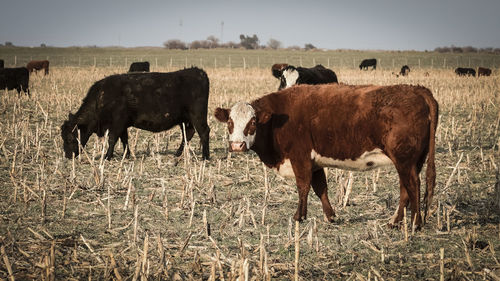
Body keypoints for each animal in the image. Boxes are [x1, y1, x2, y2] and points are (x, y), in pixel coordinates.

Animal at [61, 66, 210, 160]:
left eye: (70, 138)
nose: (68, 156)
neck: (102, 97)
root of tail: (198, 72)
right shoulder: (122, 125)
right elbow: (124, 139)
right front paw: (126, 155)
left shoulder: (117, 122)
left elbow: (112, 138)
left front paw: (107, 157)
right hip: (185, 119)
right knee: (188, 133)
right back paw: (178, 154)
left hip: (197, 115)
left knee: (203, 132)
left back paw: (205, 157)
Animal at [215, 82, 438, 228]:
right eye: (230, 122)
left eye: (253, 122)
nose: (237, 145)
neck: (277, 120)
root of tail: (417, 89)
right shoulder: (315, 163)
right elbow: (320, 188)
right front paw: (330, 216)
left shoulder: (300, 157)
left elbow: (303, 187)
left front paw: (299, 216)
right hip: (411, 161)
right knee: (405, 188)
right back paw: (395, 221)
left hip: (404, 159)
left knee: (413, 185)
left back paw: (416, 223)